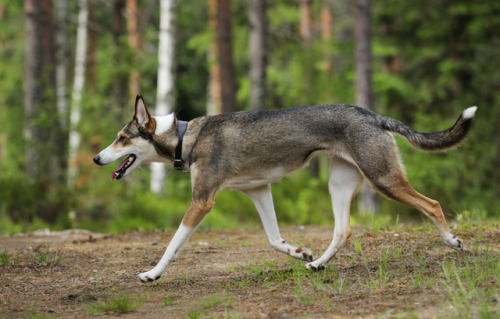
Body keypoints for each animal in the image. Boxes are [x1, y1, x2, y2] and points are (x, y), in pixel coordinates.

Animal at [93, 96, 476, 284]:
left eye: (122, 138)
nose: (96, 158)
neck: (187, 137)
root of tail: (372, 114)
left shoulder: (202, 202)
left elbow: (172, 246)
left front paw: (152, 274)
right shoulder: (259, 190)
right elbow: (274, 239)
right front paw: (300, 253)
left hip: (383, 178)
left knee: (432, 204)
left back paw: (453, 243)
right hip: (339, 183)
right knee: (343, 230)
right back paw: (318, 265)